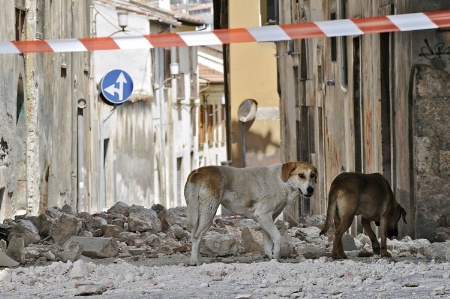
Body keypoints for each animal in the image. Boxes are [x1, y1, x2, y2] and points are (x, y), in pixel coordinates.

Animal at [183, 163, 316, 266]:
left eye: (312, 175)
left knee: (195, 235)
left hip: (198, 213)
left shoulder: (267, 219)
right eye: (301, 175)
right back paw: (195, 261)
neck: (282, 181)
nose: (311, 189)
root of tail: (198, 171)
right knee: (197, 236)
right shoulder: (263, 215)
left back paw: (199, 259)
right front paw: (276, 257)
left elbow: (267, 241)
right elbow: (277, 237)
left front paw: (270, 257)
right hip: (208, 213)